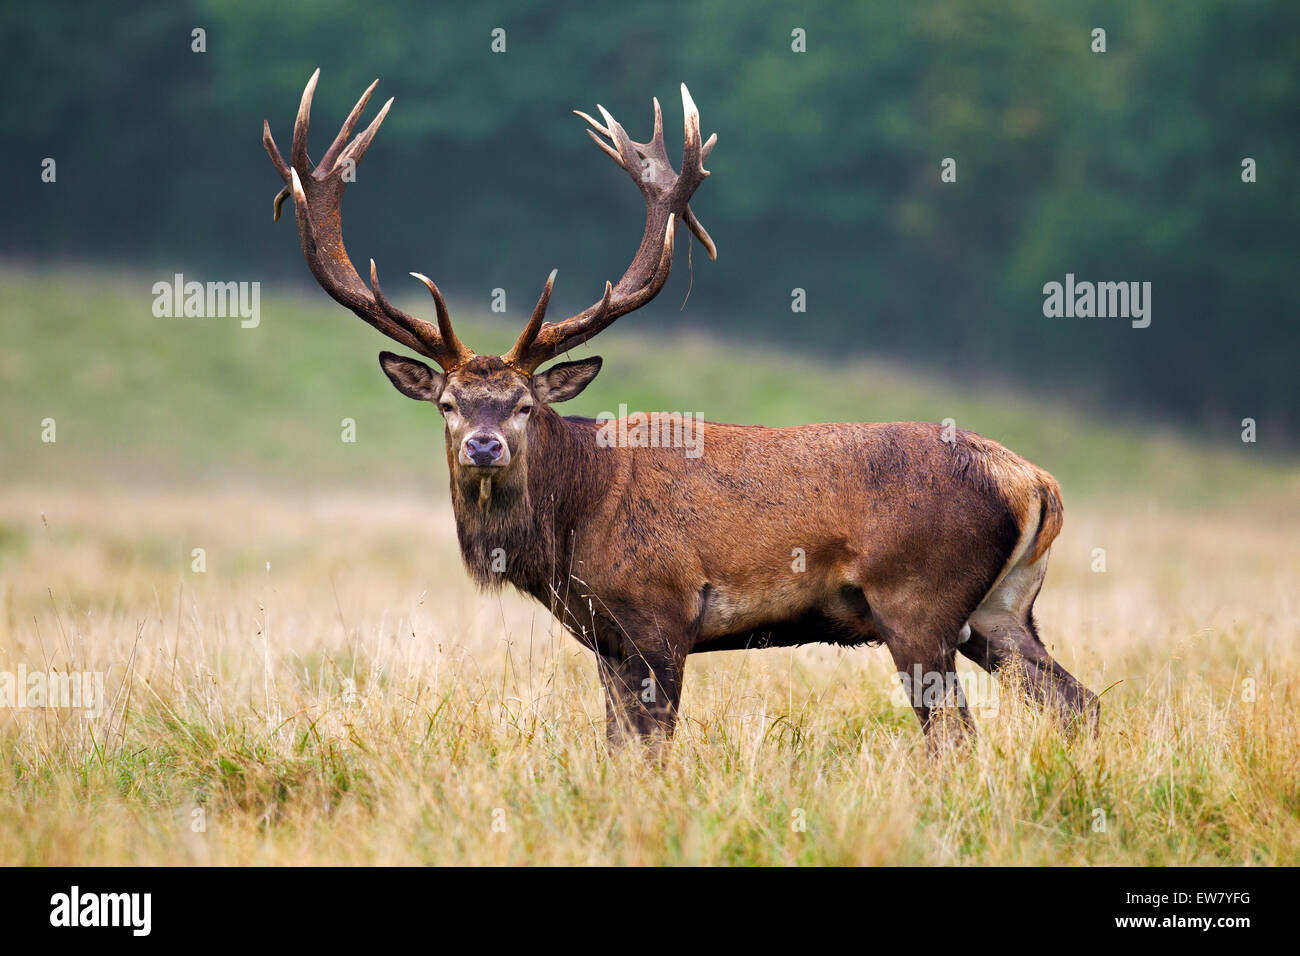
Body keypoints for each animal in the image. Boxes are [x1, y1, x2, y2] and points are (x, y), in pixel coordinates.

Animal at [263, 70, 1097, 749]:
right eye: (447, 402)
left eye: (525, 405)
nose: (484, 446)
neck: (571, 524)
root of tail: (1037, 483)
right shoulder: (605, 639)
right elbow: (615, 746)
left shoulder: (660, 612)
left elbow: (651, 747)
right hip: (1001, 612)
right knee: (1077, 704)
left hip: (917, 600)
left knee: (955, 733)